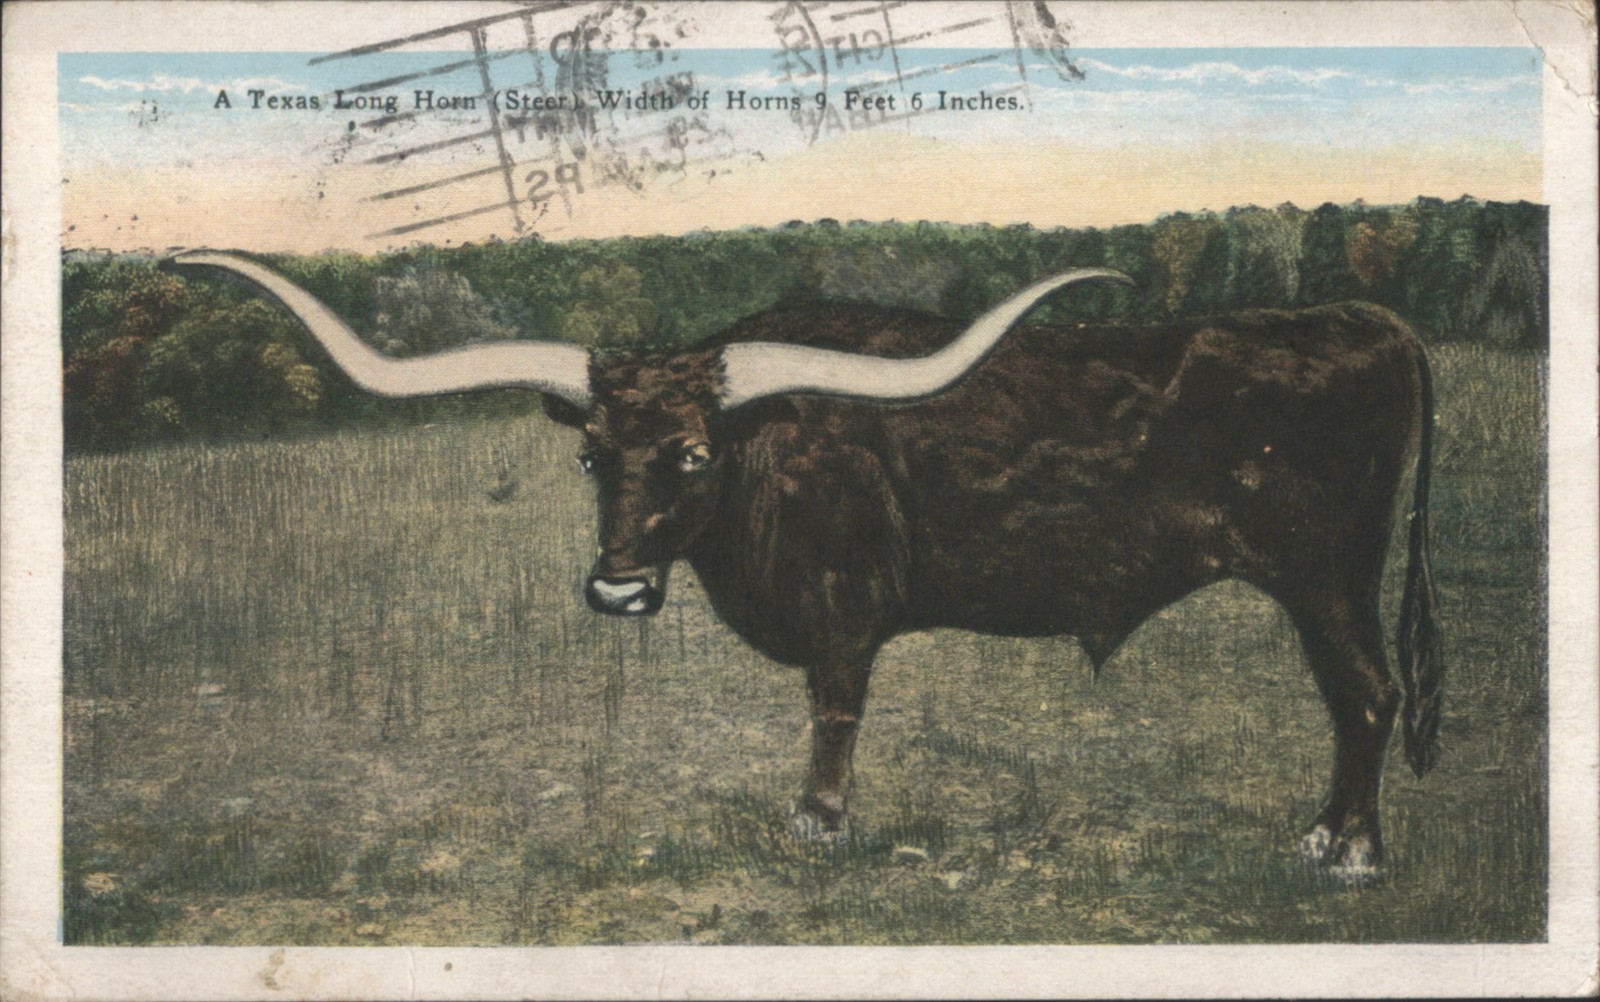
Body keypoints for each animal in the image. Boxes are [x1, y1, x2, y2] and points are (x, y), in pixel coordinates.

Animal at [171, 251, 1443, 877]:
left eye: (692, 453)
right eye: (589, 457)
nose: (614, 587)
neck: (764, 469)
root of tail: (1366, 322)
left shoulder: (844, 611)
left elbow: (834, 711)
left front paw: (820, 821)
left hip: (1325, 577)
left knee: (1369, 695)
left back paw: (1349, 854)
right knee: (1358, 701)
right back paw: (1330, 836)